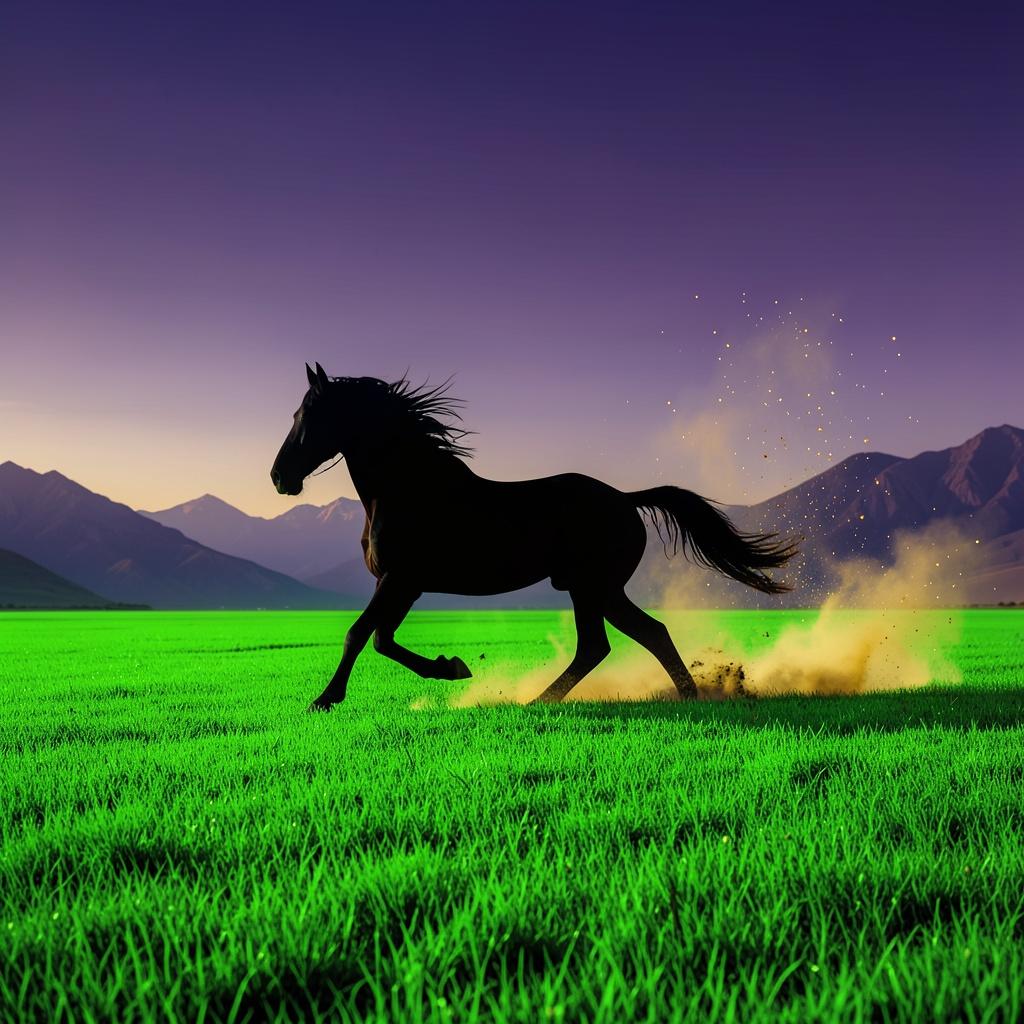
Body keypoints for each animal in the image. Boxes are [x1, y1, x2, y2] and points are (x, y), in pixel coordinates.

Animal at [271, 363, 799, 710]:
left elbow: (359, 634)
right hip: (590, 588)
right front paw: (453, 666)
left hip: (594, 586)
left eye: (307, 415)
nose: (279, 477)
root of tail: (626, 499)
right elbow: (382, 639)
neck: (407, 487)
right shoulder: (406, 584)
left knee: (624, 639)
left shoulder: (399, 579)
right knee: (617, 641)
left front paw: (325, 699)